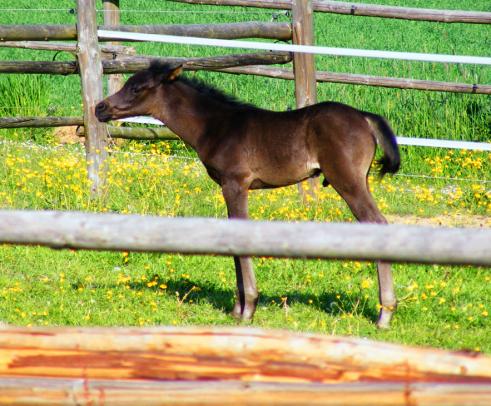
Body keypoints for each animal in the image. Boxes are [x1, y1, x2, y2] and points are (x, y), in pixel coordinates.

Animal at [95, 64, 400, 330]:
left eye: (137, 88)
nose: (100, 108)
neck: (215, 127)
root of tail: (364, 116)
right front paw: (236, 308)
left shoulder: (234, 184)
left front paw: (248, 309)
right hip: (361, 180)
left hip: (347, 180)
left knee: (378, 225)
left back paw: (384, 315)